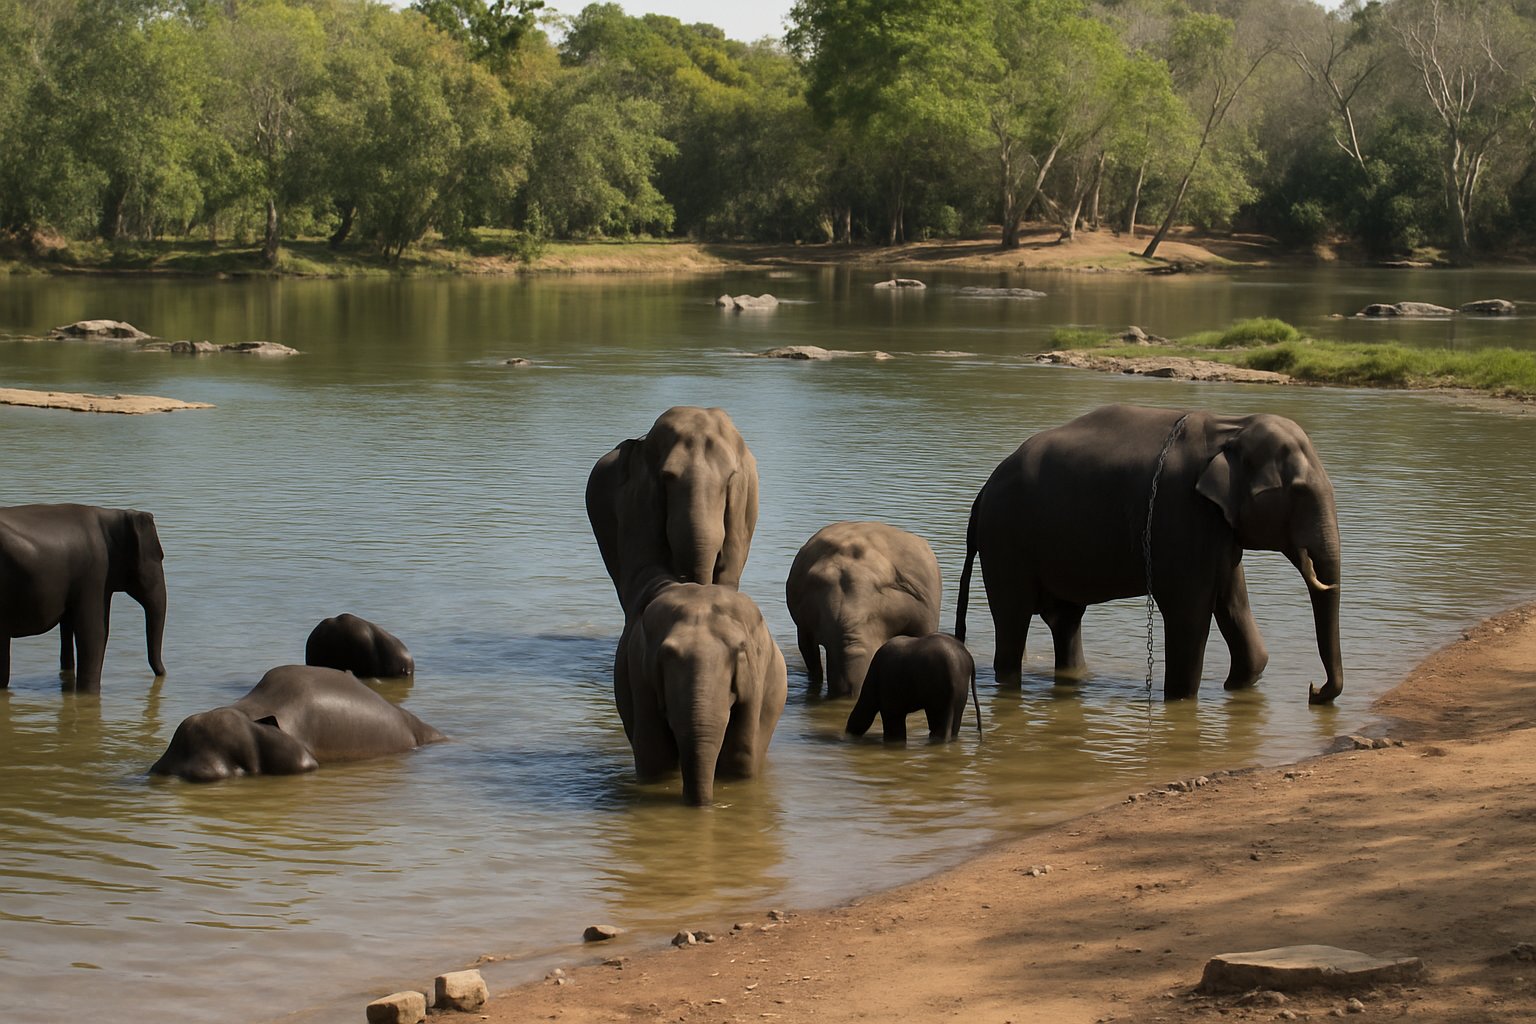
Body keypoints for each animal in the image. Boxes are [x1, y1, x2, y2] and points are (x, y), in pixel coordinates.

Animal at [0, 503, 167, 692]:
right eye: (160, 556)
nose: (162, 673)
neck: (112, 516)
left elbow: (69, 624)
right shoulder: (95, 572)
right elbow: (94, 631)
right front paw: (89, 693)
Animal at [615, 578, 787, 805]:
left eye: (740, 650)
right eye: (667, 652)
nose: (704, 806)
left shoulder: (756, 676)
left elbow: (740, 755)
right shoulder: (640, 672)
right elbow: (655, 753)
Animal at [844, 633, 978, 743]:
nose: (847, 734)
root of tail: (969, 658)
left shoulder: (889, 692)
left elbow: (893, 724)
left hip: (940, 691)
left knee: (940, 722)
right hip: (959, 691)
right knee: (951, 724)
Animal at [956, 404, 1343, 704]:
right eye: (1299, 491)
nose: (1313, 691)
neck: (1232, 426)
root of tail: (982, 494)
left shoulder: (1217, 526)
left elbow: (1233, 603)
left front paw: (1237, 686)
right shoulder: (1182, 513)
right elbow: (1189, 610)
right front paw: (1182, 701)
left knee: (1065, 620)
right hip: (1005, 542)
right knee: (1013, 621)